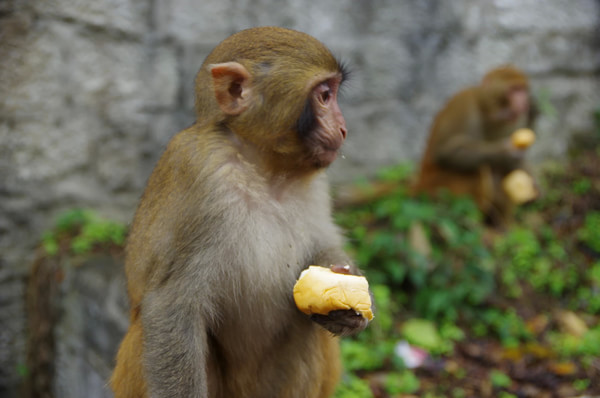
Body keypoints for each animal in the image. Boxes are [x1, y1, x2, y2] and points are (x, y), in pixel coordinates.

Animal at [109, 26, 370, 396]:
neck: (264, 169)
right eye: (324, 95)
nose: (344, 127)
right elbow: (170, 305)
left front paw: (343, 289)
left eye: (333, 92)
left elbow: (322, 247)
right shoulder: (201, 175)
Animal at [412, 65, 540, 227]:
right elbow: (447, 152)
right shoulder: (464, 106)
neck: (486, 110)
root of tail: (419, 183)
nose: (524, 102)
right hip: (437, 187)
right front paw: (505, 154)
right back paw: (474, 222)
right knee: (477, 170)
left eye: (522, 89)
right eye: (514, 90)